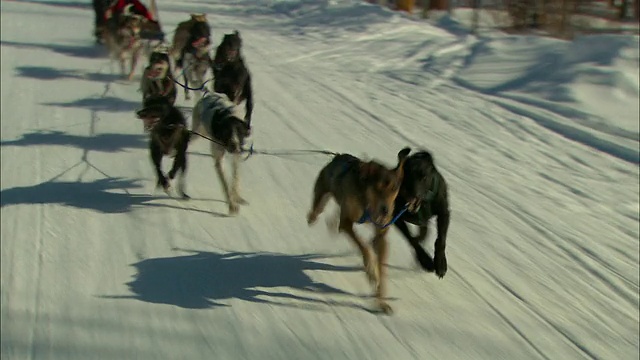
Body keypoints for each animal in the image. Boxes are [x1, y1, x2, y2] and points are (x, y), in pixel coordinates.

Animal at [306, 148, 410, 314]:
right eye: (377, 187)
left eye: (394, 188)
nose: (385, 211)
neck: (367, 202)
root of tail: (338, 157)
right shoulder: (347, 223)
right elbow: (364, 247)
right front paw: (371, 270)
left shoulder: (380, 236)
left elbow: (380, 267)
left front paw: (381, 301)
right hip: (322, 197)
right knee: (316, 212)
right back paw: (315, 218)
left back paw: (332, 223)